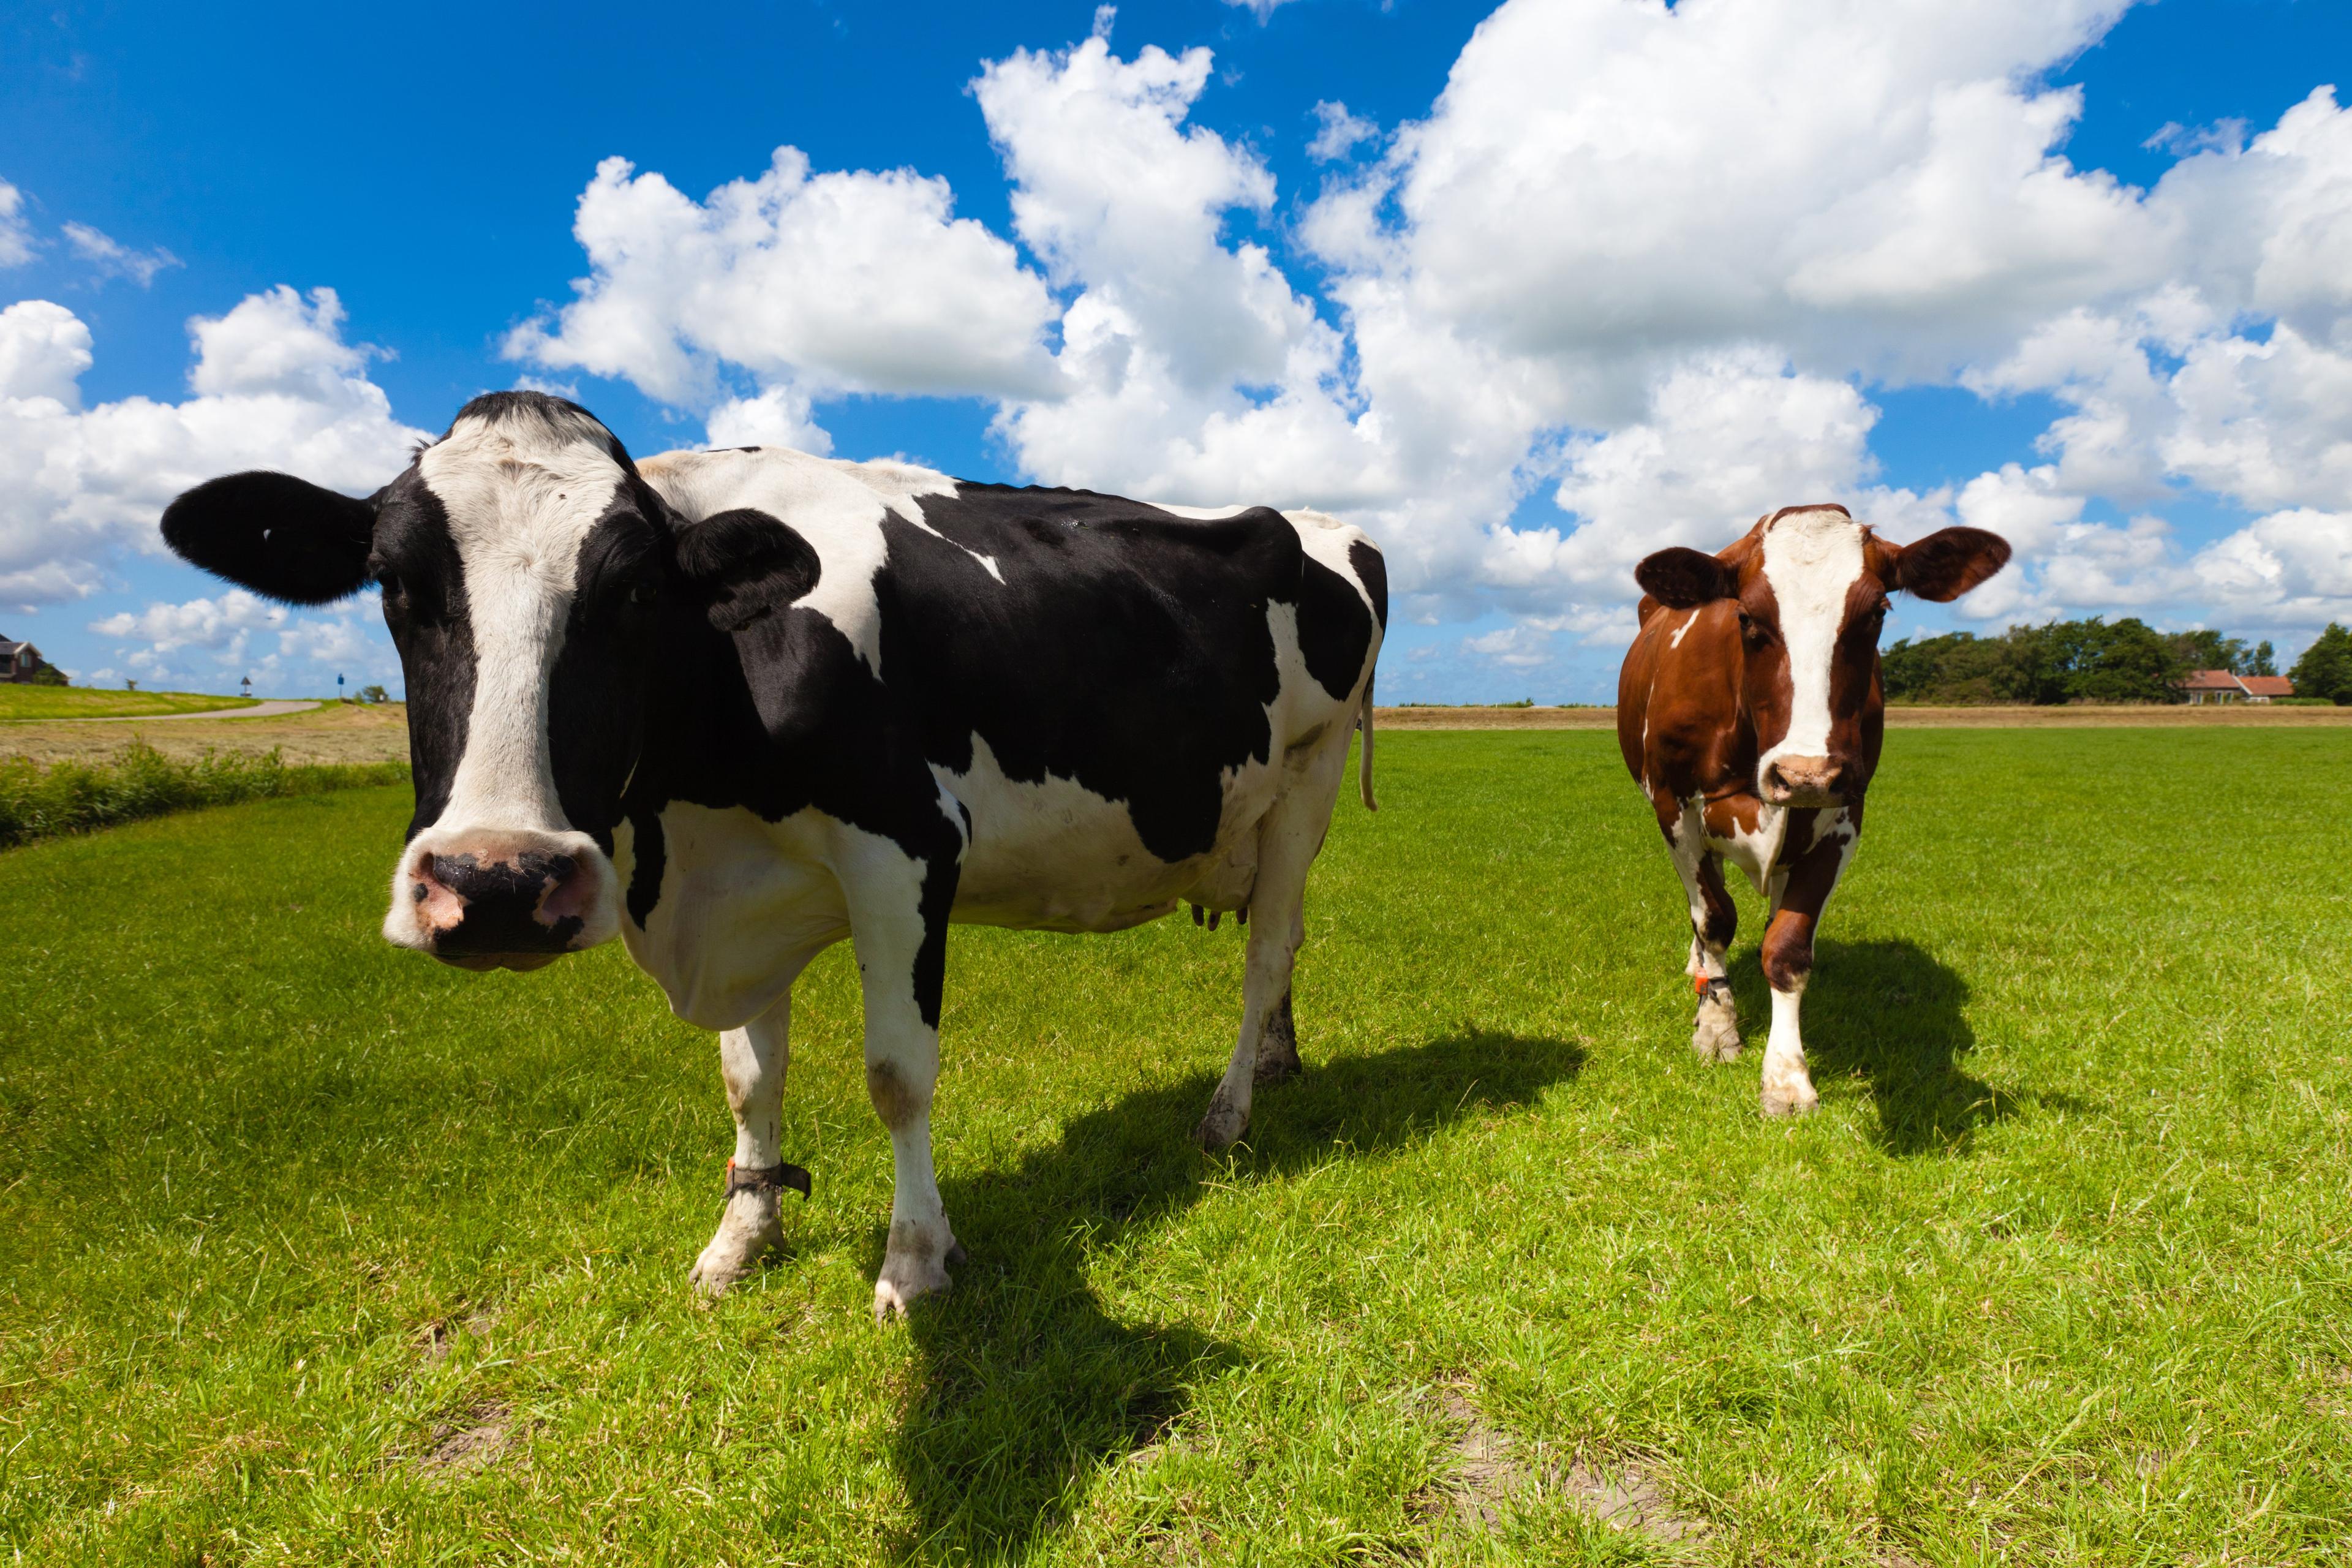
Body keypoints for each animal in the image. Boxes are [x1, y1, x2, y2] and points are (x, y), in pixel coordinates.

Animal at [160, 391, 1386, 1317]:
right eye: (396, 585)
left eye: (634, 592)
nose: (498, 883)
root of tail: (1329, 524)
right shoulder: (740, 889)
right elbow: (750, 1078)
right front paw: (743, 1237)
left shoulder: (906, 849)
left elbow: (897, 1074)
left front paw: (914, 1259)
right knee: (1284, 945)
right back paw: (1279, 1065)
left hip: (1308, 783)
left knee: (1268, 953)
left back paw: (1229, 1115)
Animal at [1616, 504, 2009, 1116]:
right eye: (1746, 616)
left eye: (1877, 612)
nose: (1805, 772)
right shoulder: (1673, 806)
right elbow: (1714, 918)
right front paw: (1717, 1028)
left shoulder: (1844, 813)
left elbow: (1788, 946)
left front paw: (1786, 1078)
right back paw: (1700, 968)